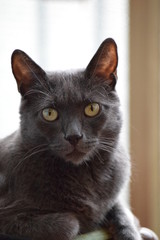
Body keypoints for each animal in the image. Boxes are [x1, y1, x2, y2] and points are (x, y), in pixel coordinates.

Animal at [0, 39, 152, 240]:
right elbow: (70, 223)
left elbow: (122, 211)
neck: (86, 176)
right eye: (49, 113)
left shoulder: (113, 199)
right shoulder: (7, 214)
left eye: (92, 108)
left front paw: (134, 232)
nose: (73, 136)